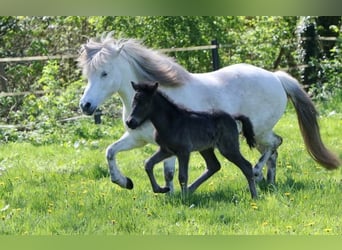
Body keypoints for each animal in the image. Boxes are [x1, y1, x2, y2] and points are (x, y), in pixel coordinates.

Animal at [127, 81, 258, 198]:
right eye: (133, 101)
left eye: (146, 103)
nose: (130, 122)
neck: (171, 122)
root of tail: (232, 116)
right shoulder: (166, 150)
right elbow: (148, 164)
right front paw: (162, 189)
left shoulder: (183, 151)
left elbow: (182, 176)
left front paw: (183, 199)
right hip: (206, 149)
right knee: (214, 166)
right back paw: (190, 189)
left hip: (228, 148)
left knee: (246, 166)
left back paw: (254, 196)